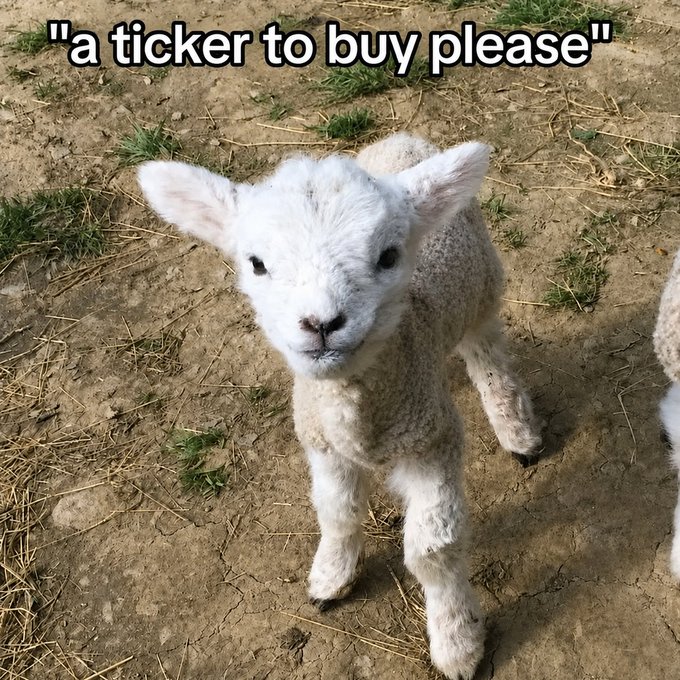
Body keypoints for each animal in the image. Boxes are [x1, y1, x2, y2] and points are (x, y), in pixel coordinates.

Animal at [137, 133, 542, 680]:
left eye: (389, 256)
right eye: (256, 263)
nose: (322, 323)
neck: (359, 412)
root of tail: (402, 140)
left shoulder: (431, 439)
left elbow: (434, 550)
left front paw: (457, 641)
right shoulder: (322, 443)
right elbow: (336, 512)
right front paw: (331, 576)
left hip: (481, 286)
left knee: (489, 353)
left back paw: (516, 429)